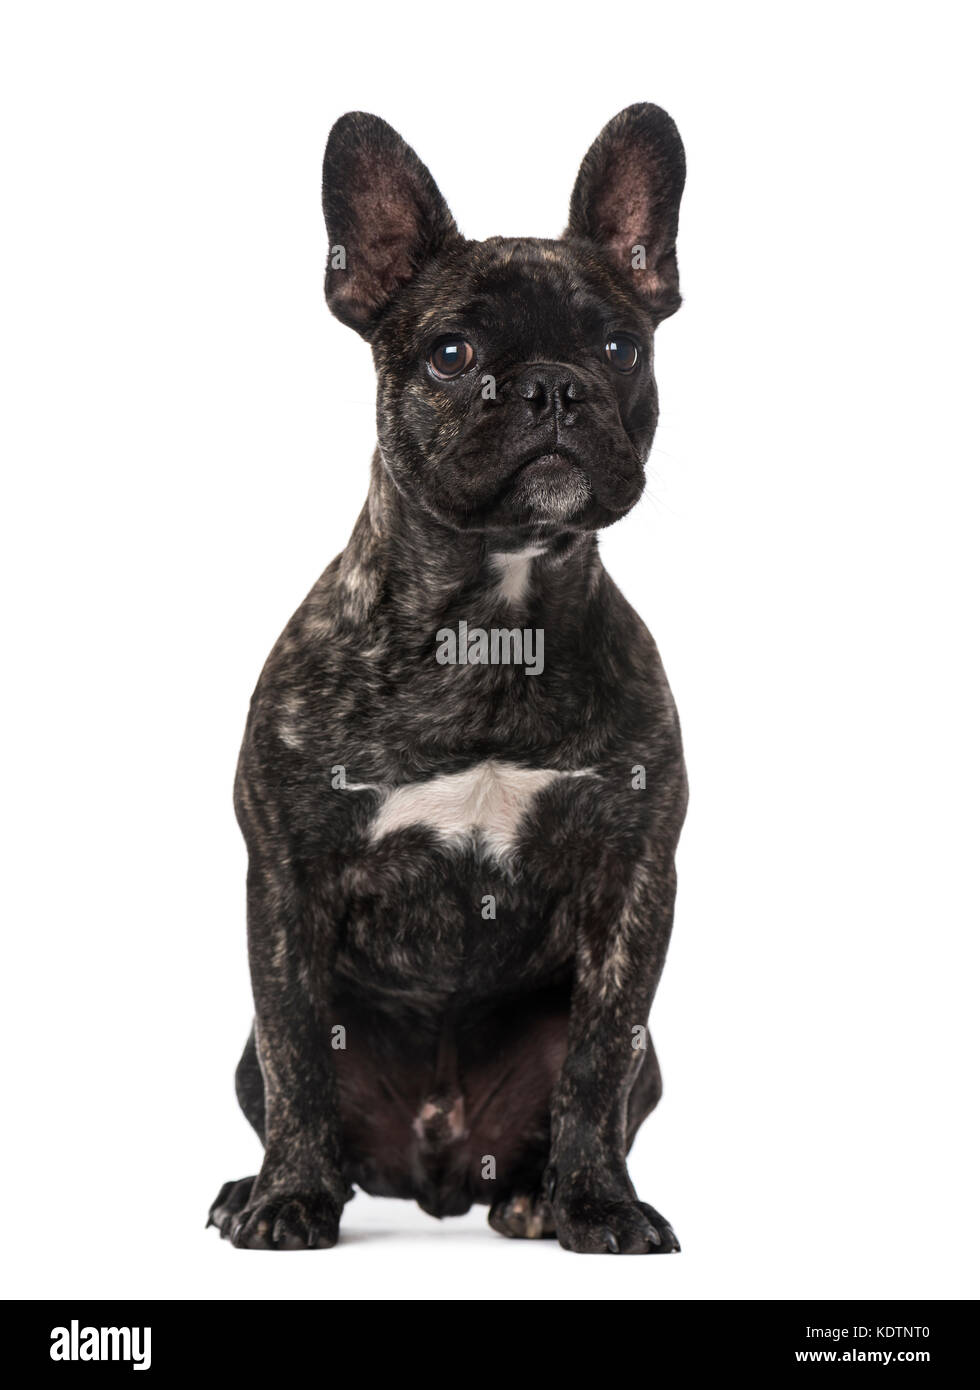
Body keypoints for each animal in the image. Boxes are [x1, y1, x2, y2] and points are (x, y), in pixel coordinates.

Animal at [208, 103, 688, 1254]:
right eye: (450, 352)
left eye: (621, 346)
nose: (554, 385)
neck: (491, 626)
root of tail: (437, 1170)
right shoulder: (285, 880)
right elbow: (298, 1051)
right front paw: (288, 1198)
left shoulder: (636, 879)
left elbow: (596, 1060)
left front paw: (597, 1203)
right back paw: (263, 1186)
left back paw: (537, 1196)